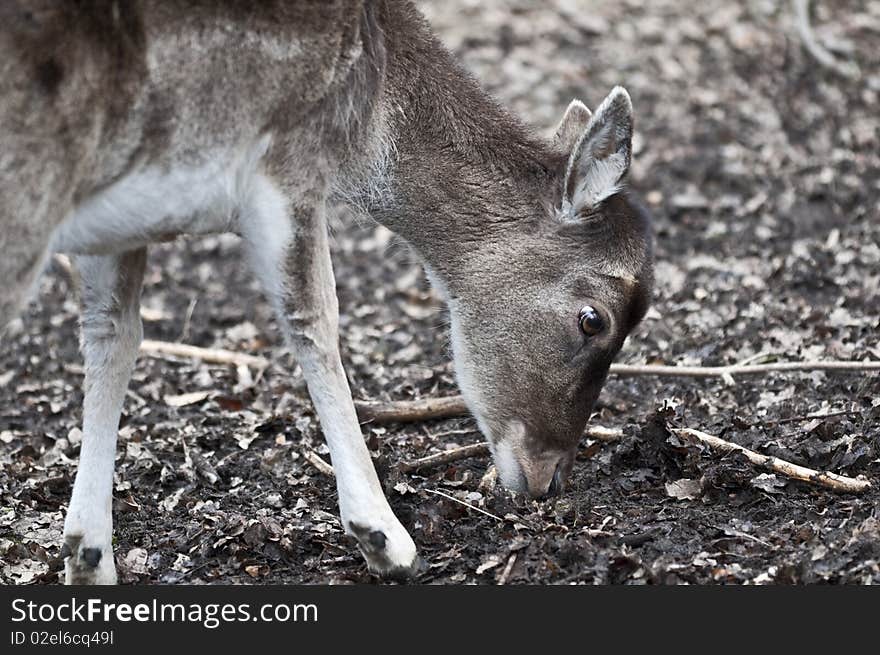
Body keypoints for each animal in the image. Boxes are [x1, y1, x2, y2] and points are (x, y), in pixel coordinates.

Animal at [0, 0, 648, 584]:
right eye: (594, 319)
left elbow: (113, 331)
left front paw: (89, 558)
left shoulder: (118, 220)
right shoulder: (288, 166)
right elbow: (315, 317)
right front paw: (386, 539)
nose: (548, 479)